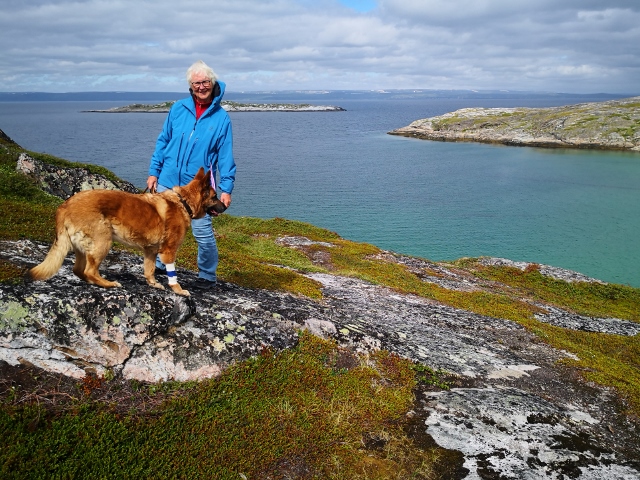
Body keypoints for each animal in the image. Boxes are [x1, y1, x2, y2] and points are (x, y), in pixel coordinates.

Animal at [28, 168, 226, 296]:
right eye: (215, 196)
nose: (225, 206)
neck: (183, 202)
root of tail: (64, 206)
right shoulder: (168, 251)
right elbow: (173, 276)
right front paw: (178, 290)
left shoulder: (150, 251)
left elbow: (149, 270)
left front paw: (153, 284)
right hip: (103, 242)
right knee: (90, 270)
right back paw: (108, 284)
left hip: (83, 247)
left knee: (78, 270)